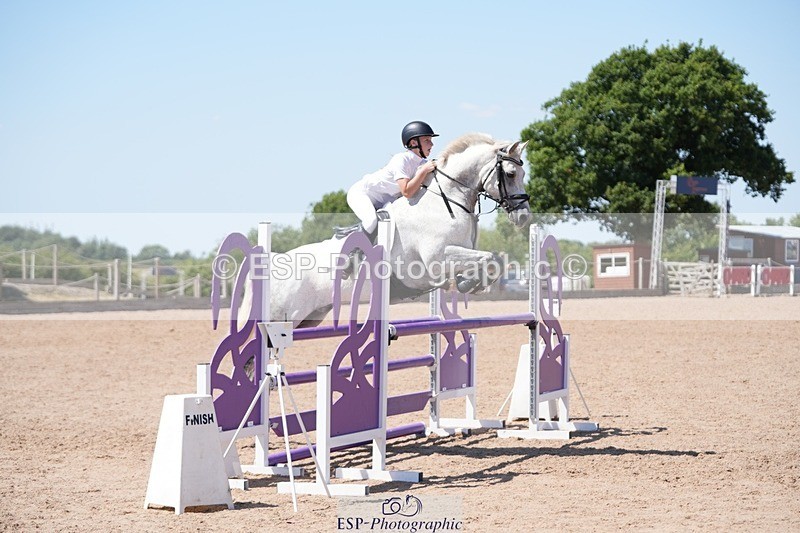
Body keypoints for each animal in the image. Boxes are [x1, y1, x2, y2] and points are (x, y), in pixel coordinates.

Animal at [239, 133, 531, 327]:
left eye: (523, 174)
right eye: (510, 173)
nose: (524, 216)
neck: (446, 199)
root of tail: (270, 263)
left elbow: (493, 260)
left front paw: (469, 282)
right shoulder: (435, 261)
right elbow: (489, 258)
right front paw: (468, 283)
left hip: (310, 317)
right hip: (279, 317)